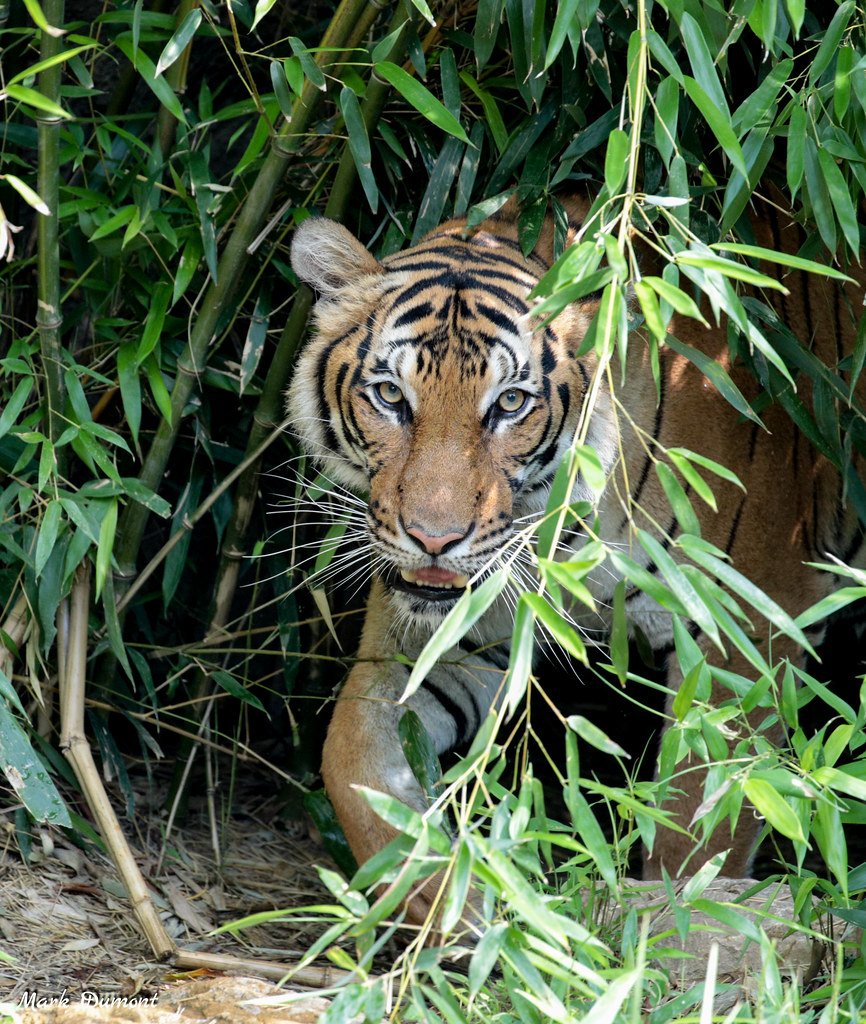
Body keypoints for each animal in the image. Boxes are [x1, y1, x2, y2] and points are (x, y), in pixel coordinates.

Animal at [286, 193, 865, 924]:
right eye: (391, 396)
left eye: (509, 403)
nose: (434, 539)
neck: (562, 536)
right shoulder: (457, 632)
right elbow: (352, 757)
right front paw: (456, 901)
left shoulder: (745, 628)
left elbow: (702, 831)